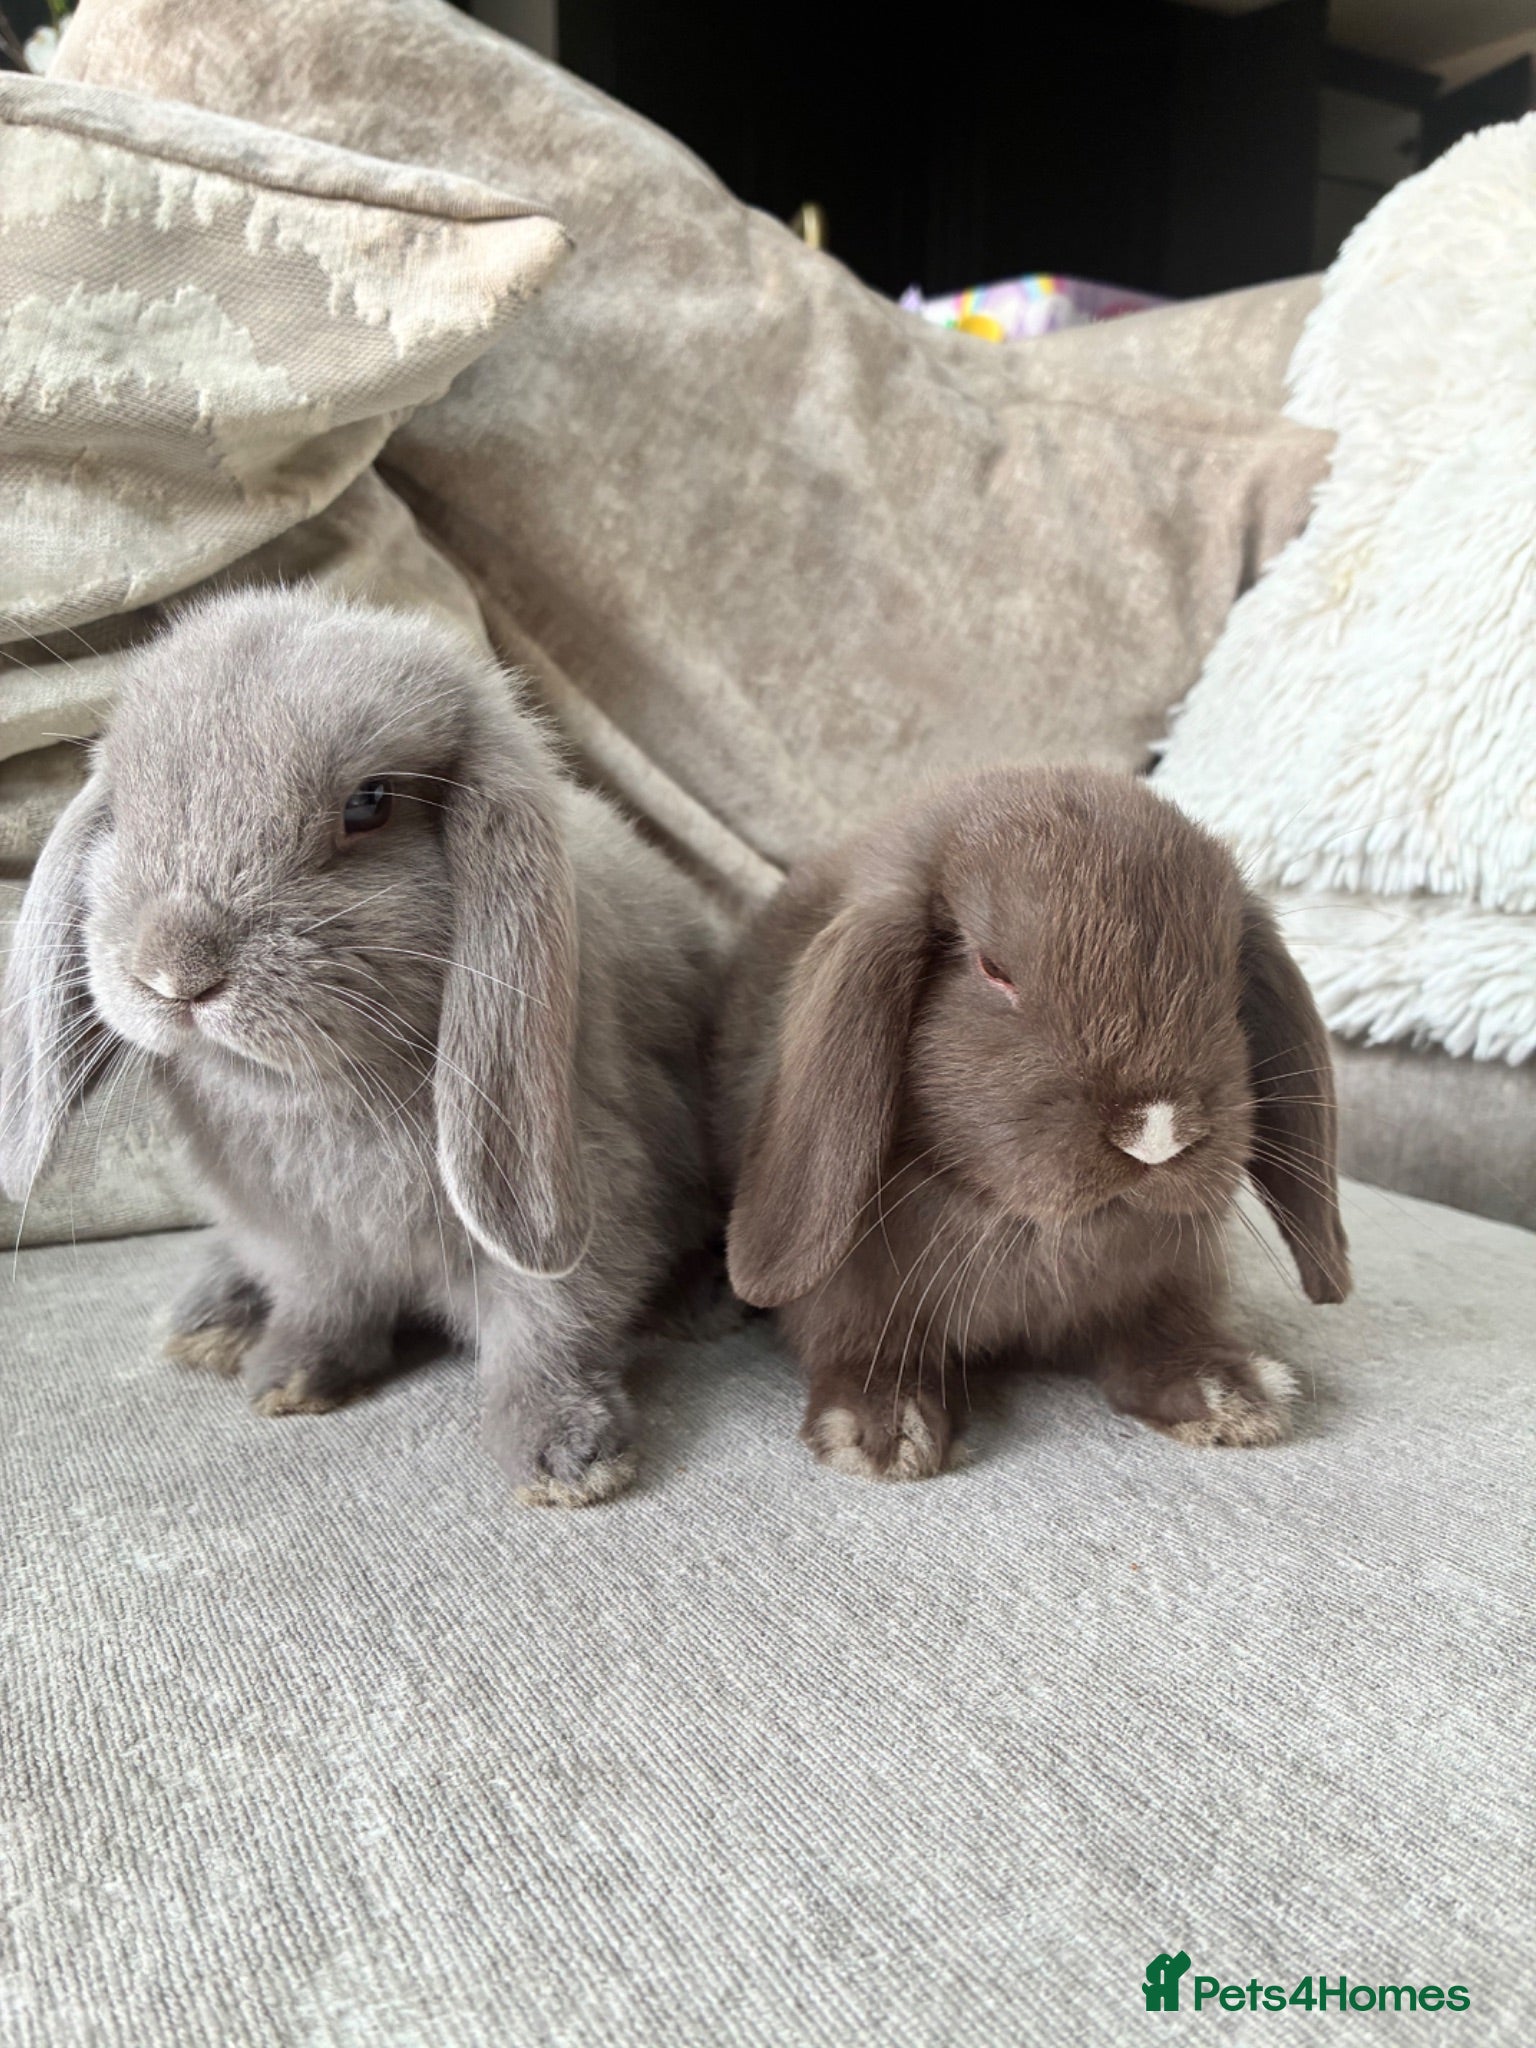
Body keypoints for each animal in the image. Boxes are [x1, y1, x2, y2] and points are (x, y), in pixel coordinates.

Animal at [0, 587, 723, 1507]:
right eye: (124, 808)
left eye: (369, 804)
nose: (175, 971)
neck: (319, 1090)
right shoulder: (294, 1235)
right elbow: (323, 1303)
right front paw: (290, 1377)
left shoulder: (584, 1190)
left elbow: (549, 1325)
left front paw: (566, 1458)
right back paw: (210, 1317)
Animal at [715, 766, 1351, 1480]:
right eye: (994, 970)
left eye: (1227, 972)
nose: (1156, 1132)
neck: (1035, 1227)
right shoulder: (848, 1290)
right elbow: (860, 1342)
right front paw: (884, 1434)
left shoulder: (1170, 1276)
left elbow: (1158, 1334)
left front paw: (1228, 1395)